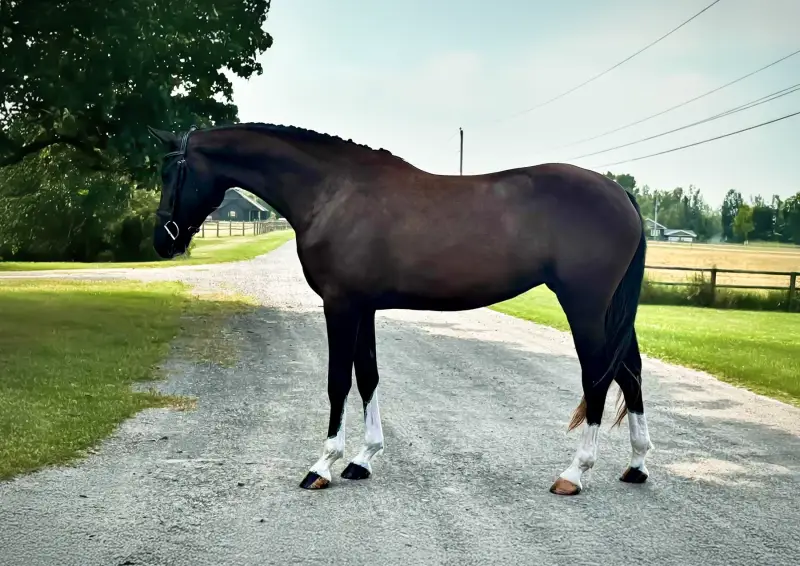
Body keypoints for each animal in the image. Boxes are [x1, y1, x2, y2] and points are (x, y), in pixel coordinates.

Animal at [146, 123, 653, 496]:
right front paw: (362, 459)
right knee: (630, 370)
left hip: (585, 306)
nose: (162, 241)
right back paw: (637, 465)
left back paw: (574, 473)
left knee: (598, 377)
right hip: (609, 311)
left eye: (172, 174)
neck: (332, 193)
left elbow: (338, 382)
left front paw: (322, 466)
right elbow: (368, 377)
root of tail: (619, 194)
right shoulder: (363, 308)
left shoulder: (340, 306)